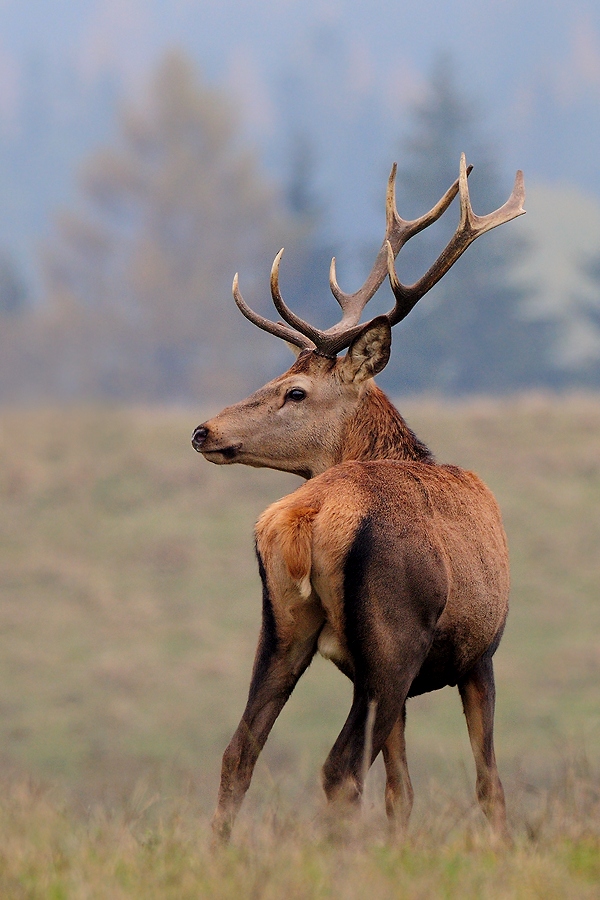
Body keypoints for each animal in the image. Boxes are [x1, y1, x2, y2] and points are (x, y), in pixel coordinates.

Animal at [192, 155, 525, 845]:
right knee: (339, 770)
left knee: (239, 751)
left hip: (283, 629)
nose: (203, 430)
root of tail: (307, 515)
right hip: (394, 640)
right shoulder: (480, 652)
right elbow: (488, 785)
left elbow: (404, 790)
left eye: (293, 389)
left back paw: (219, 851)